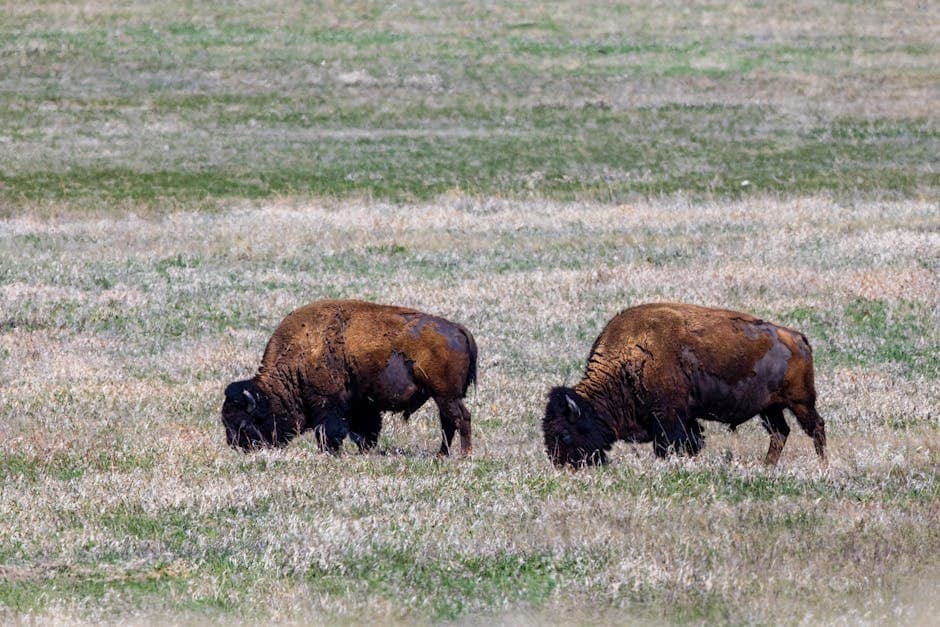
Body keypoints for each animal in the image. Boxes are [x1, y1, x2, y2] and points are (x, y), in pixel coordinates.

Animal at [222, 299, 477, 456]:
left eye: (244, 424)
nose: (236, 447)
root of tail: (457, 328)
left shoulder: (328, 405)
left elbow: (330, 430)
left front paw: (330, 452)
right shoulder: (362, 406)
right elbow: (365, 431)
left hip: (445, 395)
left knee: (460, 418)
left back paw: (463, 455)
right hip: (442, 396)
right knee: (448, 422)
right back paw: (442, 455)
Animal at [543, 303, 827, 467]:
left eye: (564, 434)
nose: (561, 465)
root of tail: (798, 338)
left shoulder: (668, 417)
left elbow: (672, 445)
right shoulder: (684, 418)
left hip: (800, 402)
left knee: (815, 427)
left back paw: (822, 465)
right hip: (770, 408)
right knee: (780, 433)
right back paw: (767, 466)